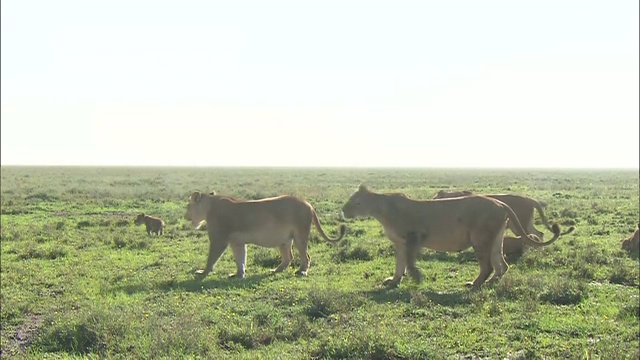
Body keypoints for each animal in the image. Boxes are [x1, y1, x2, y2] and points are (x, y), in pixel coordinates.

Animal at [185, 191, 344, 278]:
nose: (185, 215)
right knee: (289, 257)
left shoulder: (219, 239)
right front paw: (238, 275)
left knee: (306, 256)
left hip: (300, 235)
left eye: (188, 206)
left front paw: (203, 272)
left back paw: (302, 271)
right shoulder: (237, 243)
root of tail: (308, 204)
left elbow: (211, 258)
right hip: (285, 240)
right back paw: (276, 270)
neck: (209, 206)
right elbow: (240, 259)